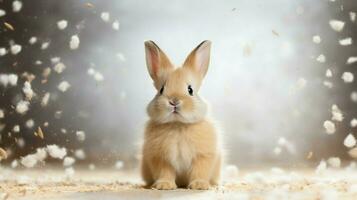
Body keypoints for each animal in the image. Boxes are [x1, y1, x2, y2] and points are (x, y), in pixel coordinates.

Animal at [141, 39, 220, 190]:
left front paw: (199, 185)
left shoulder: (203, 156)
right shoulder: (160, 158)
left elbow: (200, 171)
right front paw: (164, 185)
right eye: (161, 89)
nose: (174, 101)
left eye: (190, 90)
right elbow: (165, 172)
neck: (177, 124)